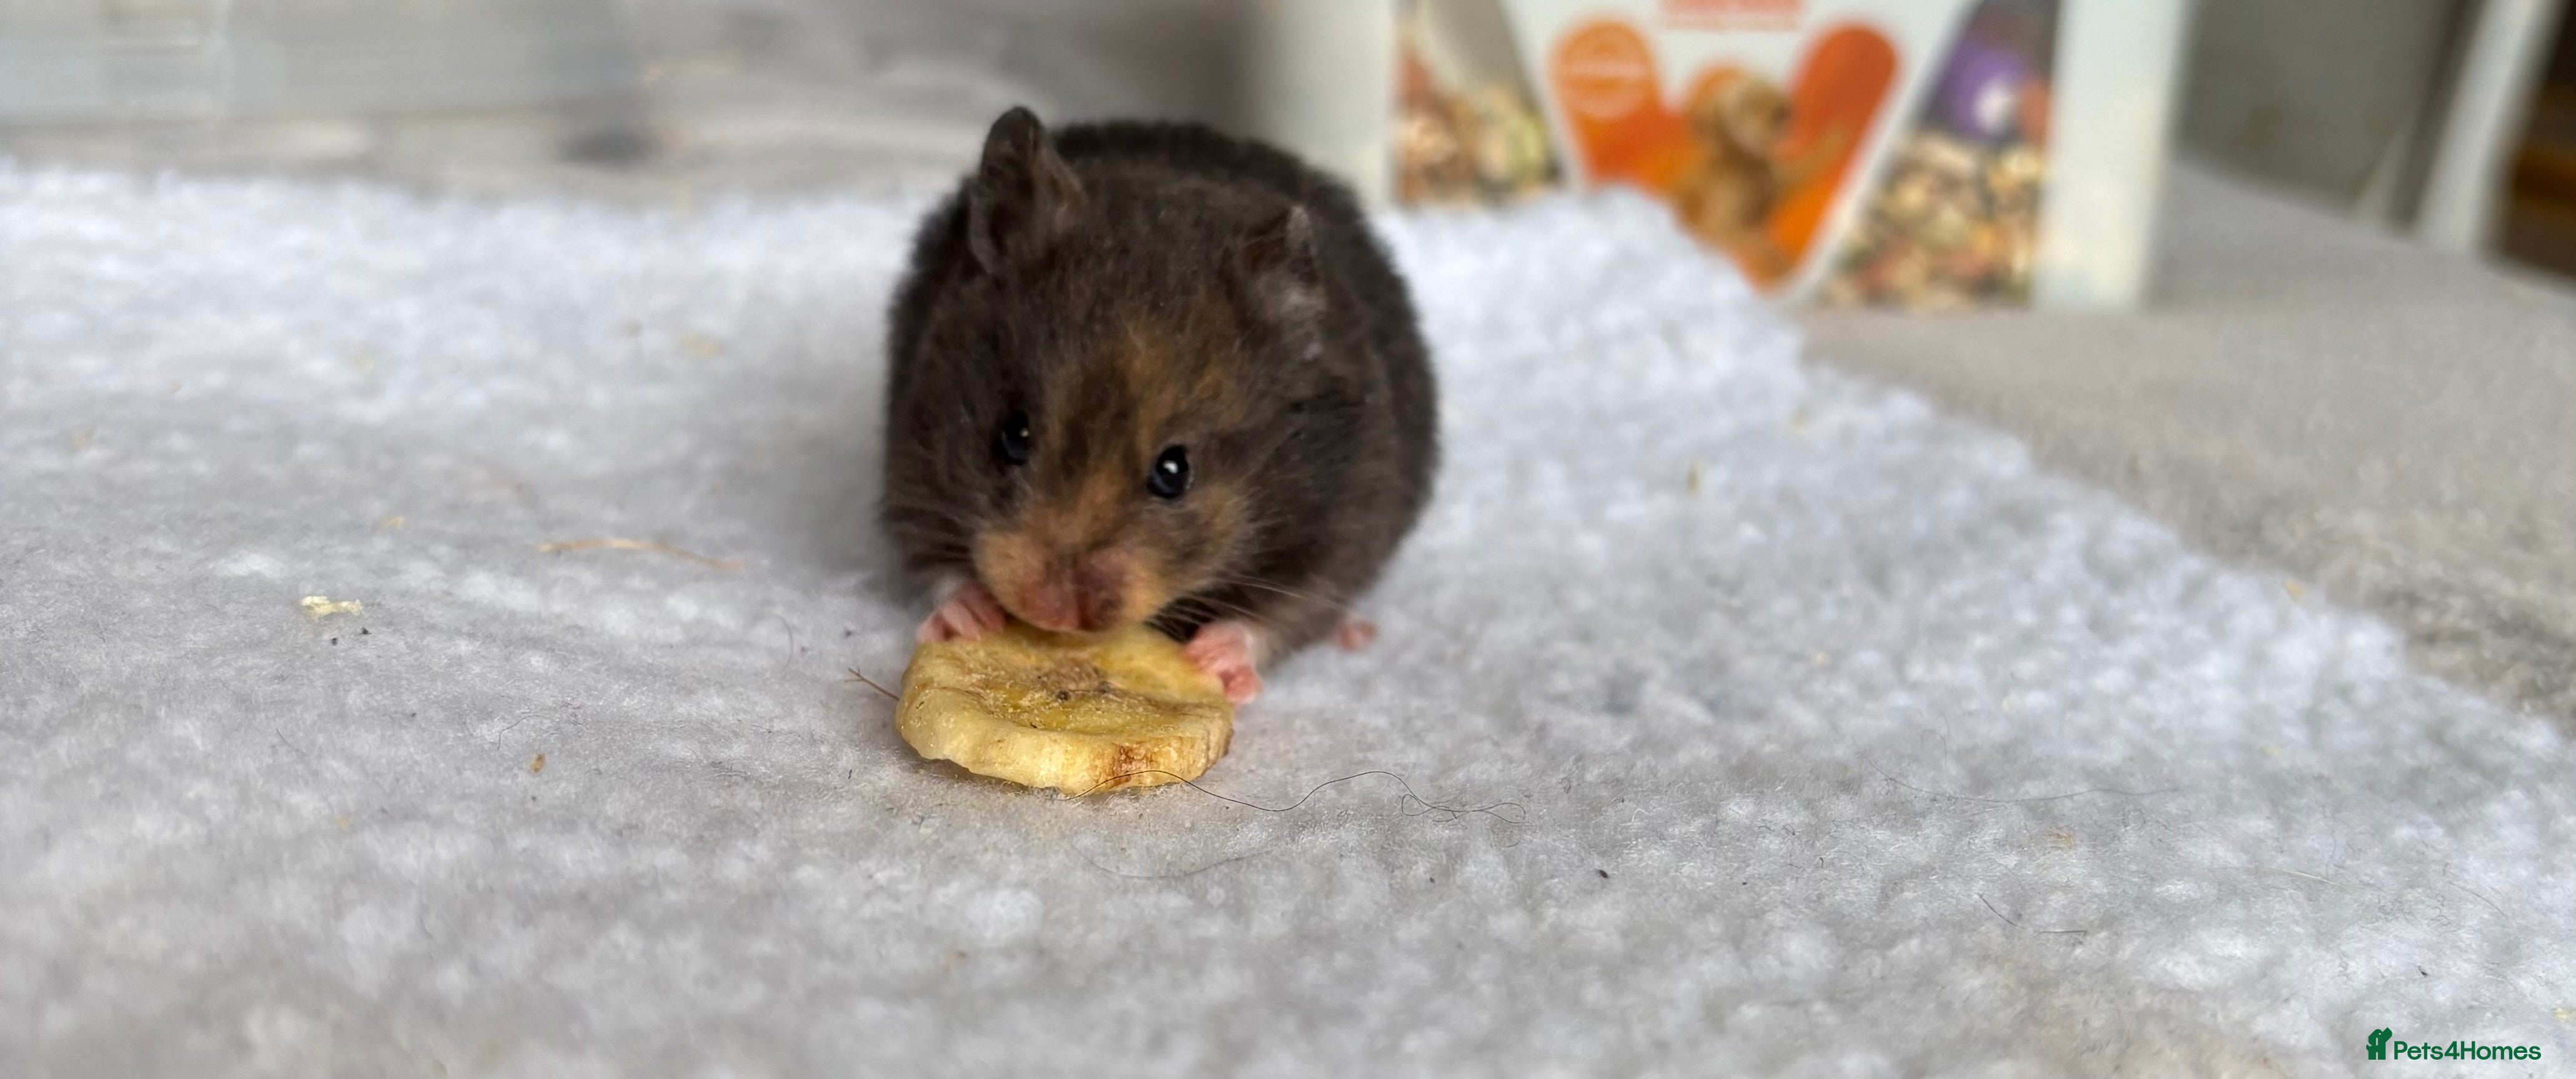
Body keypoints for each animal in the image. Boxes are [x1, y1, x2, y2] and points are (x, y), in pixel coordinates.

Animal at [881, 108, 1439, 705]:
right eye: (1011, 436)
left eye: (1175, 473)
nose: (1052, 614)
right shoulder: (909, 465)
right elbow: (933, 559)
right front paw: (969, 617)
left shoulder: (1342, 526)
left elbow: (1291, 609)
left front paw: (1213, 660)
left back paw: (1356, 633)